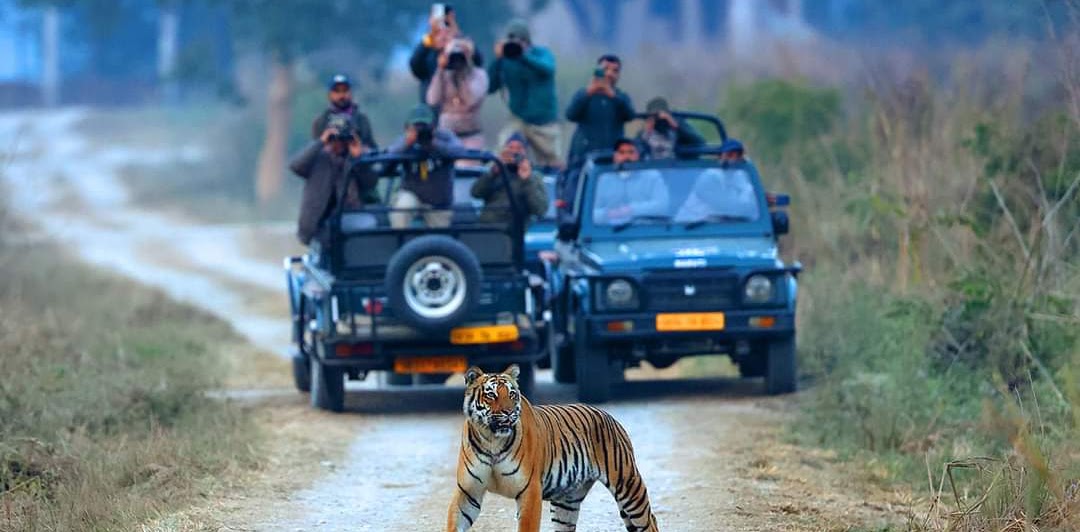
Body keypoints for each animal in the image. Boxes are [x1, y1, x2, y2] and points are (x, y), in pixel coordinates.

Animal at [446, 365, 659, 532]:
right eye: (491, 395)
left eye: (512, 394)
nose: (509, 413)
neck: (492, 441)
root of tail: (608, 415)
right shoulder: (468, 491)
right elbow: (454, 521)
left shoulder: (530, 490)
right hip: (567, 503)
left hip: (628, 485)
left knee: (650, 522)